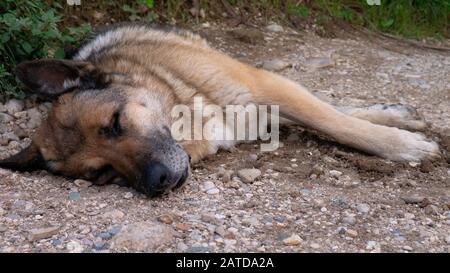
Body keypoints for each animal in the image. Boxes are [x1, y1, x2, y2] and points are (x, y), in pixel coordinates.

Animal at [0, 23, 440, 196]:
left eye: (115, 122)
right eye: (100, 173)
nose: (158, 182)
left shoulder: (264, 86)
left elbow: (336, 122)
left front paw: (402, 146)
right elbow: (329, 118)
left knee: (332, 109)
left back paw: (398, 119)